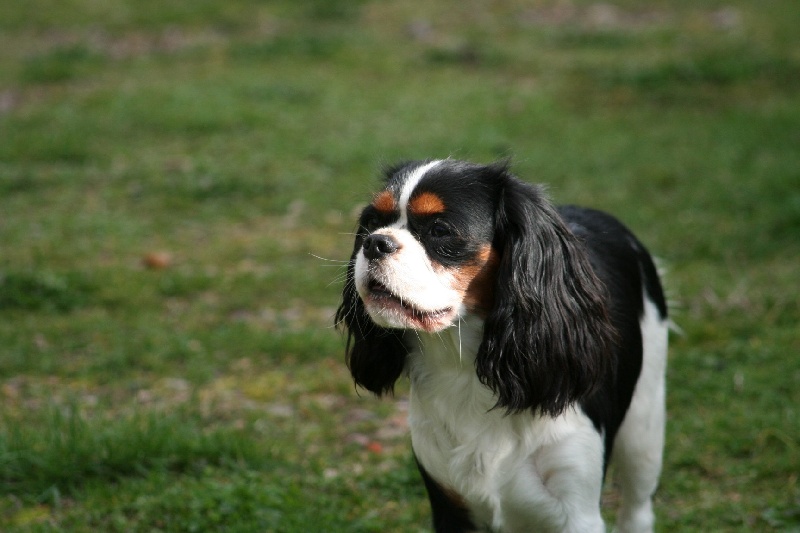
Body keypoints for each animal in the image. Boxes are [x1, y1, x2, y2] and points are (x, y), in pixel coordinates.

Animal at [338, 159, 668, 532]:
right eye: (371, 223)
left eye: (440, 230)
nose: (375, 242)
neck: (464, 369)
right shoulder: (450, 505)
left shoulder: (577, 510)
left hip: (644, 427)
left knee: (637, 507)